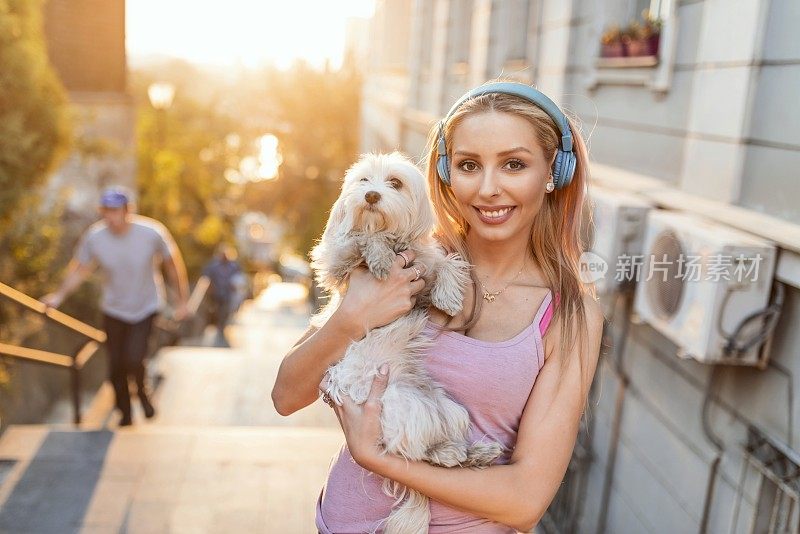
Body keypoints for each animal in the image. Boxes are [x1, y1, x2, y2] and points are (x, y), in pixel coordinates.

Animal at [310, 152, 500, 534]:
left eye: (394, 183)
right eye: (364, 181)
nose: (371, 196)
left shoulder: (420, 275)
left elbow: (443, 263)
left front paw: (449, 295)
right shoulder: (338, 262)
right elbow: (360, 242)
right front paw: (380, 256)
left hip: (449, 409)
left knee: (431, 452)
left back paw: (470, 453)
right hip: (393, 404)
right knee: (413, 453)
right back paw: (457, 454)